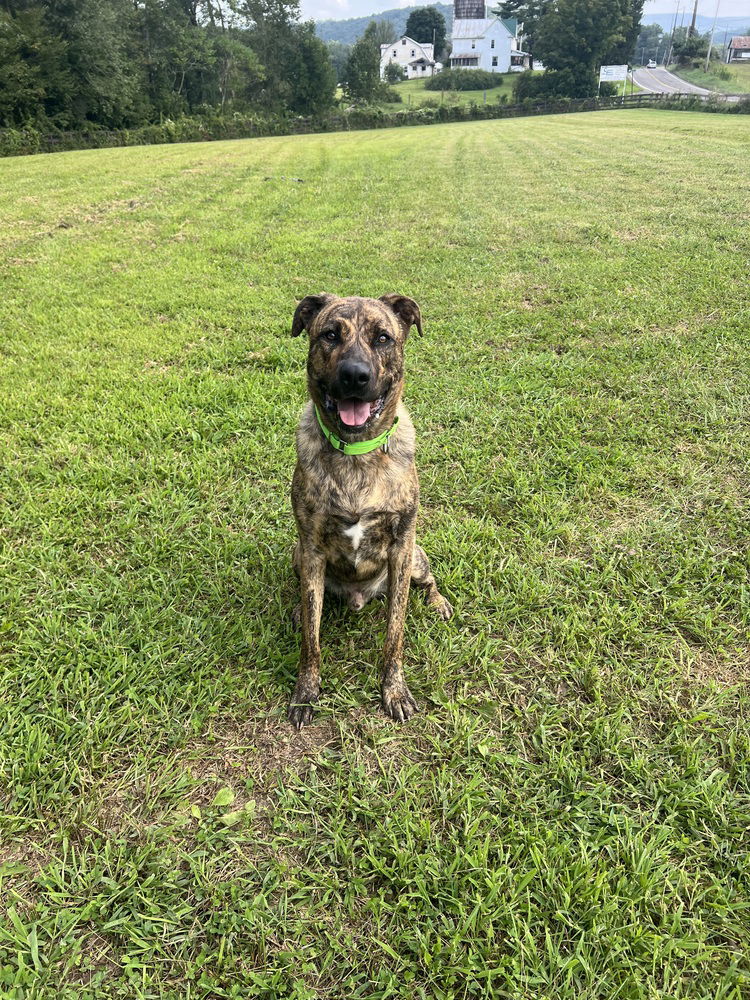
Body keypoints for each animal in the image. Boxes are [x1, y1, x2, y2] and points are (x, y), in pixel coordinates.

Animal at [288, 292, 452, 732]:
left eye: (382, 338)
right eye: (330, 335)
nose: (355, 376)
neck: (357, 454)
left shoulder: (400, 548)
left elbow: (395, 634)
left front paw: (393, 691)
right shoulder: (311, 549)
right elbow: (311, 640)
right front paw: (306, 691)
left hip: (416, 558)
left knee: (427, 582)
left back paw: (438, 602)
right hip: (297, 557)